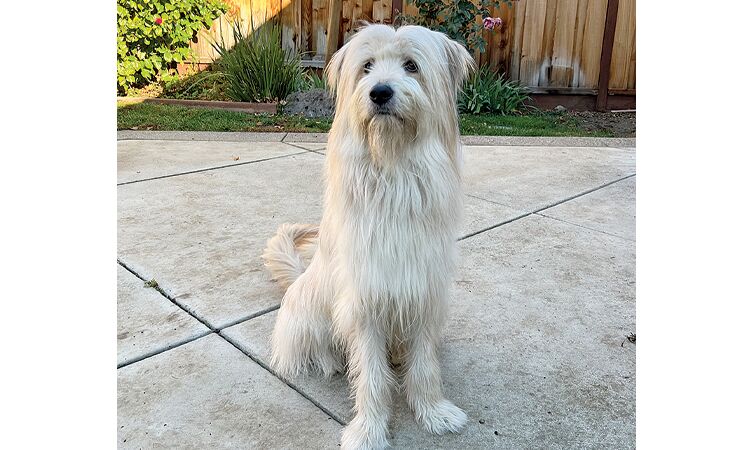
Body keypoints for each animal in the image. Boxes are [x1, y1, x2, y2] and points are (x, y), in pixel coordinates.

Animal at [264, 23, 476, 450]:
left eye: (411, 65)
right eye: (367, 67)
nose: (380, 92)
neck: (394, 169)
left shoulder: (423, 292)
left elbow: (424, 365)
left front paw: (433, 412)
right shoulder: (365, 302)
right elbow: (372, 377)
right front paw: (369, 430)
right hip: (311, 318)